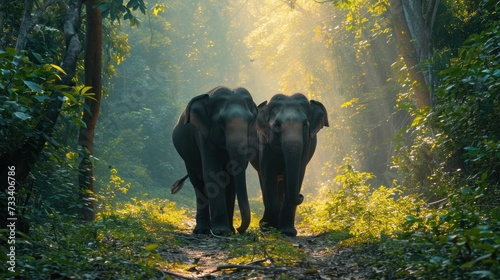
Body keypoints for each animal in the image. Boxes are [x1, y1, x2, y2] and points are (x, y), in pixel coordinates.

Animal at [172, 86, 258, 236]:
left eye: (251, 120)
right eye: (220, 121)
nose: (239, 229)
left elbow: (230, 179)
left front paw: (229, 230)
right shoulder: (203, 136)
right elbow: (212, 174)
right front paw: (221, 231)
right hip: (188, 159)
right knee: (198, 183)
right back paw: (202, 230)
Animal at [252, 93, 330, 236]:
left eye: (305, 124)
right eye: (277, 124)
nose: (301, 195)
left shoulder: (306, 145)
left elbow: (299, 173)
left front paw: (287, 232)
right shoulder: (263, 142)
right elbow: (268, 174)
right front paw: (266, 228)